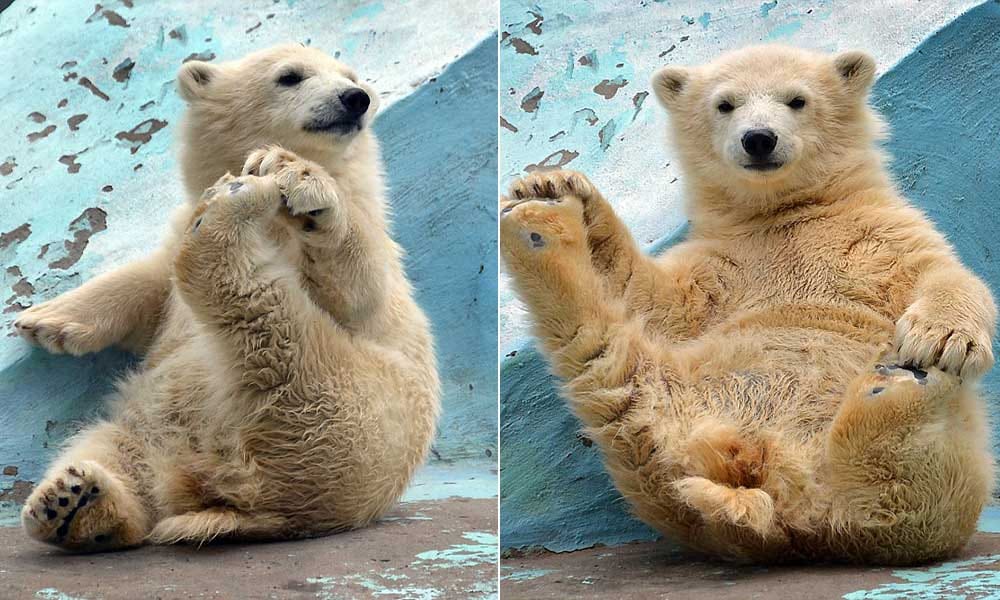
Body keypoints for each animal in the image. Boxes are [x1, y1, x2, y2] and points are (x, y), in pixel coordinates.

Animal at [15, 45, 439, 551]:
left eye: (351, 75)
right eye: (290, 76)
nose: (355, 98)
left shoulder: (366, 259)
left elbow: (361, 287)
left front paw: (293, 173)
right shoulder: (176, 237)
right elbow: (149, 285)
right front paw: (43, 320)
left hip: (351, 410)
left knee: (270, 334)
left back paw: (225, 215)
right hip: (150, 428)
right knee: (110, 452)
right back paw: (72, 503)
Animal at [499, 45, 996, 564]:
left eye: (797, 100)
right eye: (725, 104)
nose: (759, 138)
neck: (782, 212)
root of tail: (785, 503)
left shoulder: (878, 232)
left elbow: (944, 273)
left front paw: (940, 338)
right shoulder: (724, 262)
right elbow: (655, 296)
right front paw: (552, 186)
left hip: (950, 471)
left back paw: (902, 383)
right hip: (681, 404)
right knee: (614, 379)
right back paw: (538, 228)